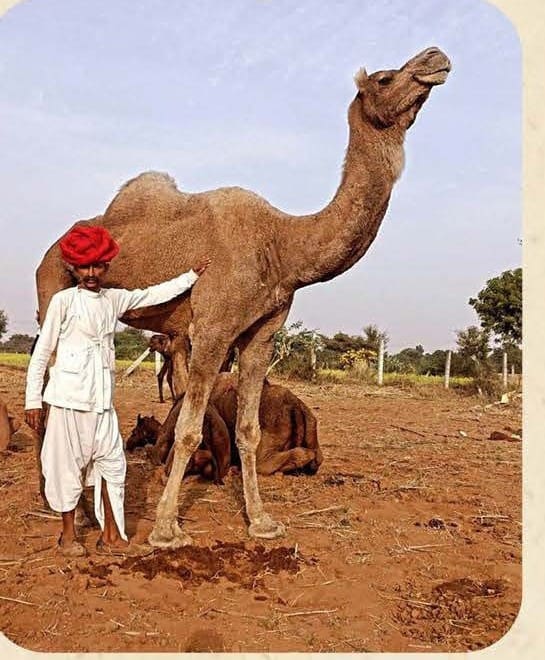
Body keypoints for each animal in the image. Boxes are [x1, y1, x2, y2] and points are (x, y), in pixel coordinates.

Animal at [33, 47, 451, 547]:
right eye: (386, 78)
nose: (435, 58)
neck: (283, 246)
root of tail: (50, 249)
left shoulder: (261, 334)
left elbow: (248, 430)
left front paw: (262, 521)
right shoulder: (213, 329)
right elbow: (189, 429)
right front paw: (167, 528)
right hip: (50, 292)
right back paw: (55, 495)